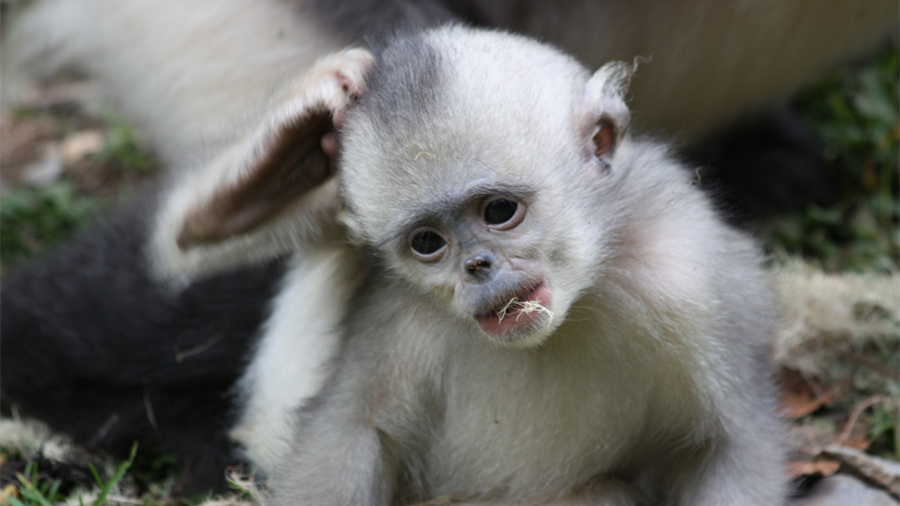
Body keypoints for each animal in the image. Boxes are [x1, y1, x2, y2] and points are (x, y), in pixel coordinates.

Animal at [151, 26, 784, 506]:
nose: (478, 266)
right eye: (428, 243)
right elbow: (350, 429)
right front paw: (291, 137)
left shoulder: (689, 278)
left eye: (499, 211)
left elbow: (730, 442)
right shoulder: (398, 310)